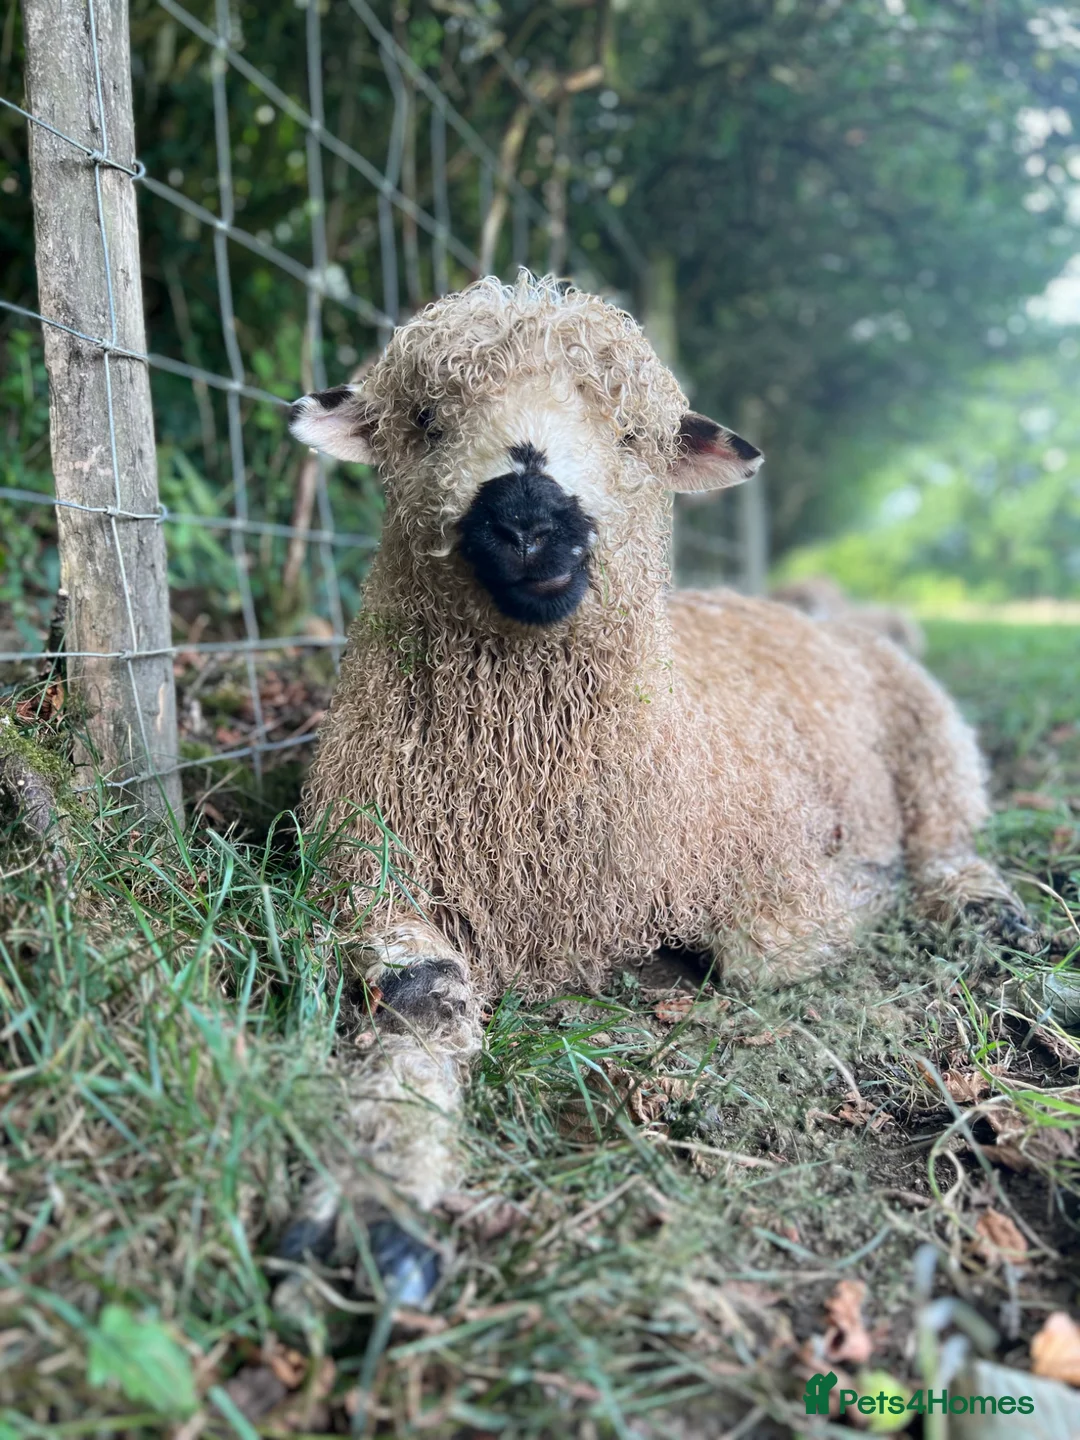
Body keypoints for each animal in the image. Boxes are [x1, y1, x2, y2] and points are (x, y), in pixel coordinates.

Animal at [277, 272, 1030, 1307]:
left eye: (633, 434)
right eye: (426, 421)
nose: (527, 519)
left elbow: (762, 948)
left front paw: (868, 892)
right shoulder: (365, 869)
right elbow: (421, 996)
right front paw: (378, 1193)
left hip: (929, 732)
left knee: (949, 831)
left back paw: (974, 901)